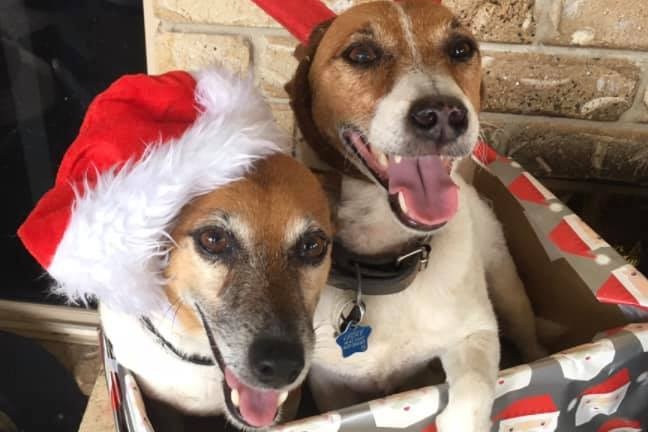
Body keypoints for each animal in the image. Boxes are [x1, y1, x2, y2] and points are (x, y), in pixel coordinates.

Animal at [288, 1, 548, 430]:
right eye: (361, 54)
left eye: (461, 49)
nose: (443, 114)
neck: (384, 262)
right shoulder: (331, 385)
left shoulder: (476, 333)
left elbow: (473, 390)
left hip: (509, 289)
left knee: (529, 336)